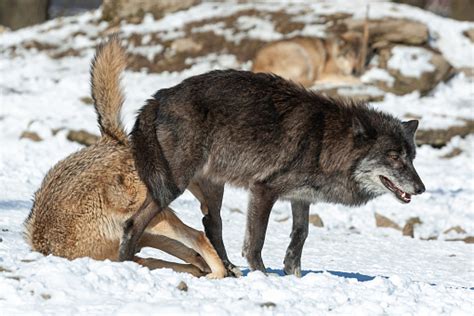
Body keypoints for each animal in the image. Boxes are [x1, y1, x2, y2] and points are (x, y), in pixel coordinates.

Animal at [122, 68, 426, 276]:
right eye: (393, 156)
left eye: (412, 157)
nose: (421, 188)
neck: (324, 142)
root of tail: (159, 97)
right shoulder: (263, 189)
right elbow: (256, 240)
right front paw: (263, 275)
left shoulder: (301, 198)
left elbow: (301, 235)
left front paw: (294, 274)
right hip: (172, 185)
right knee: (134, 222)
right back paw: (126, 261)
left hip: (212, 188)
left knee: (212, 225)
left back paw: (228, 268)